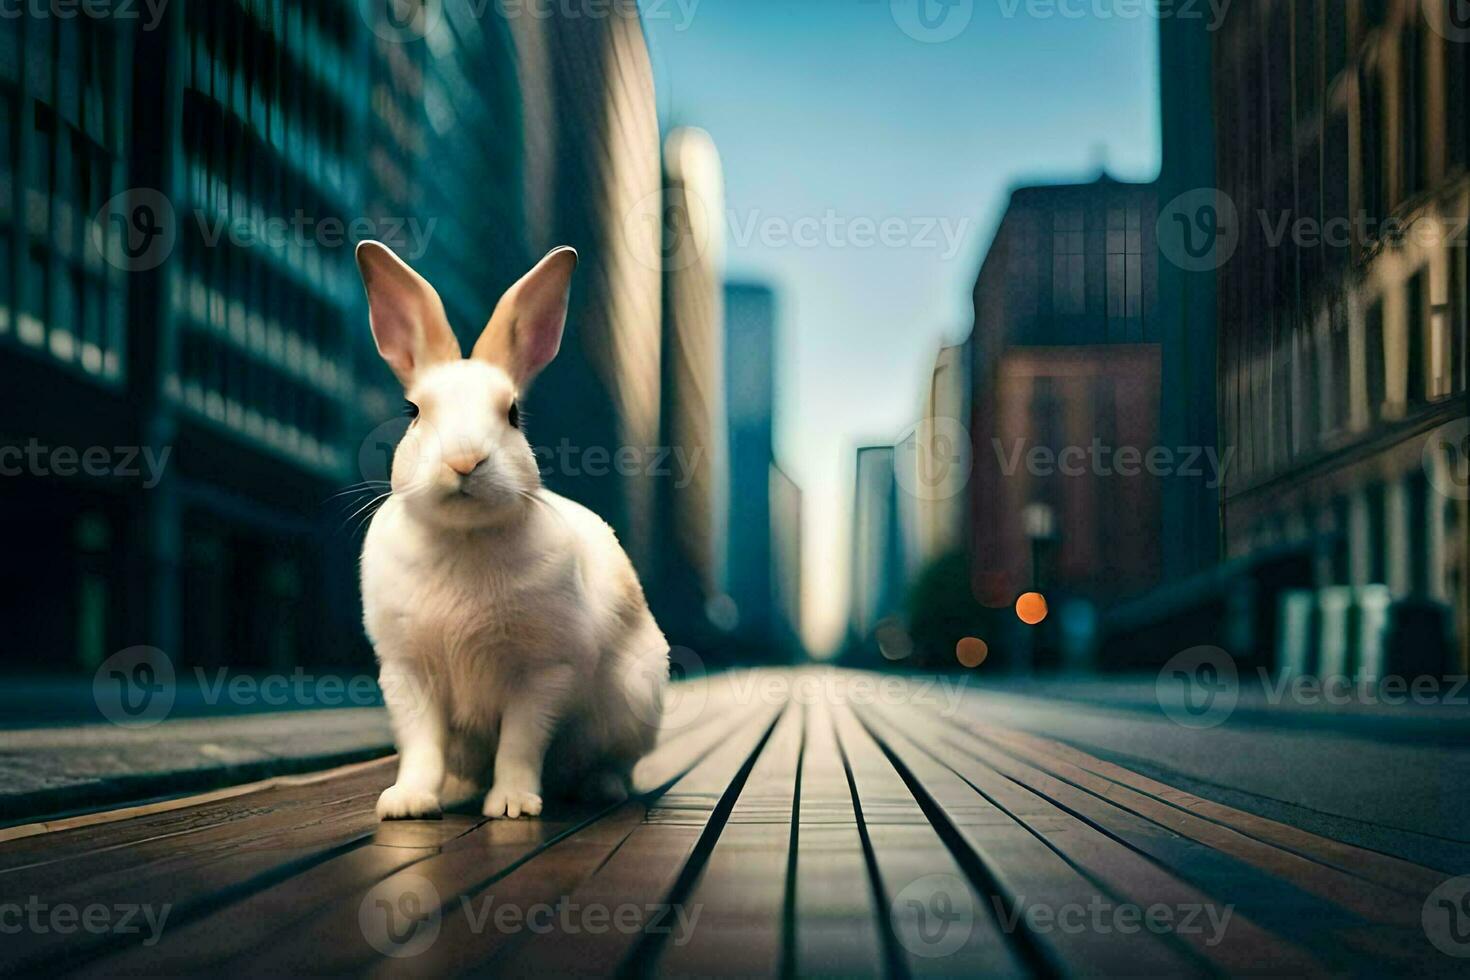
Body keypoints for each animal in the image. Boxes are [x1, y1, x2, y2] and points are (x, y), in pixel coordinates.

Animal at [358, 239, 670, 822]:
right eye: (413, 412)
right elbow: (421, 747)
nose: (464, 461)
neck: (463, 538)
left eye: (513, 415)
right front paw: (407, 802)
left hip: (633, 705)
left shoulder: (543, 672)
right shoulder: (409, 674)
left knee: (611, 763)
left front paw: (513, 806)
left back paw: (602, 789)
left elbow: (520, 744)